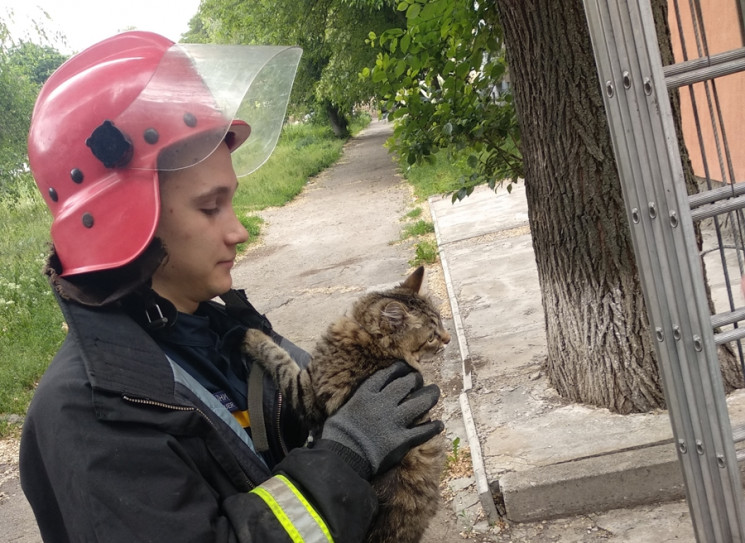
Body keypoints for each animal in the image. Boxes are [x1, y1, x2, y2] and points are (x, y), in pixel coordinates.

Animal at [243, 268, 448, 543]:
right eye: (432, 336)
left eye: (440, 328)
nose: (448, 339)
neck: (371, 338)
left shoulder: (306, 395)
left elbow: (278, 359)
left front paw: (252, 336)